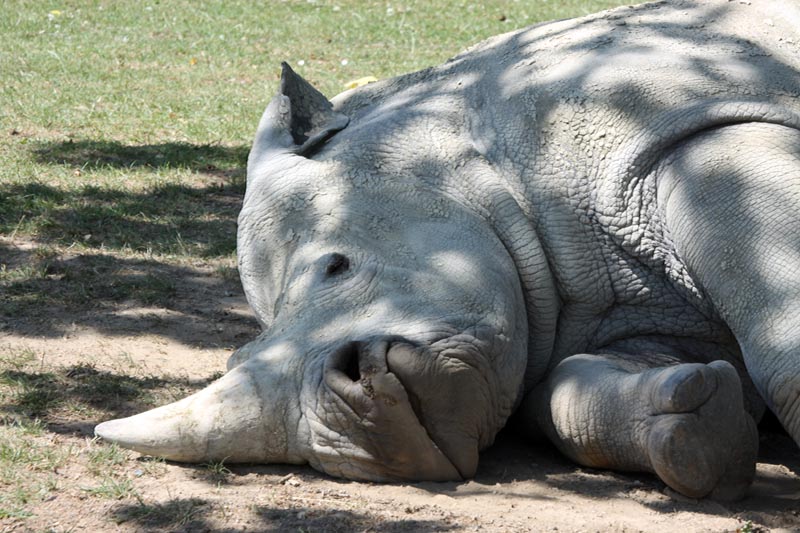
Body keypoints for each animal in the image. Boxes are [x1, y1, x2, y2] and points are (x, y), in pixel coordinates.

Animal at [96, 0, 800, 500]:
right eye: (238, 354)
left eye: (337, 265)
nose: (352, 435)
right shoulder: (631, 307)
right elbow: (565, 392)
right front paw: (699, 437)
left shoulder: (707, 123)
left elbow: (780, 338)